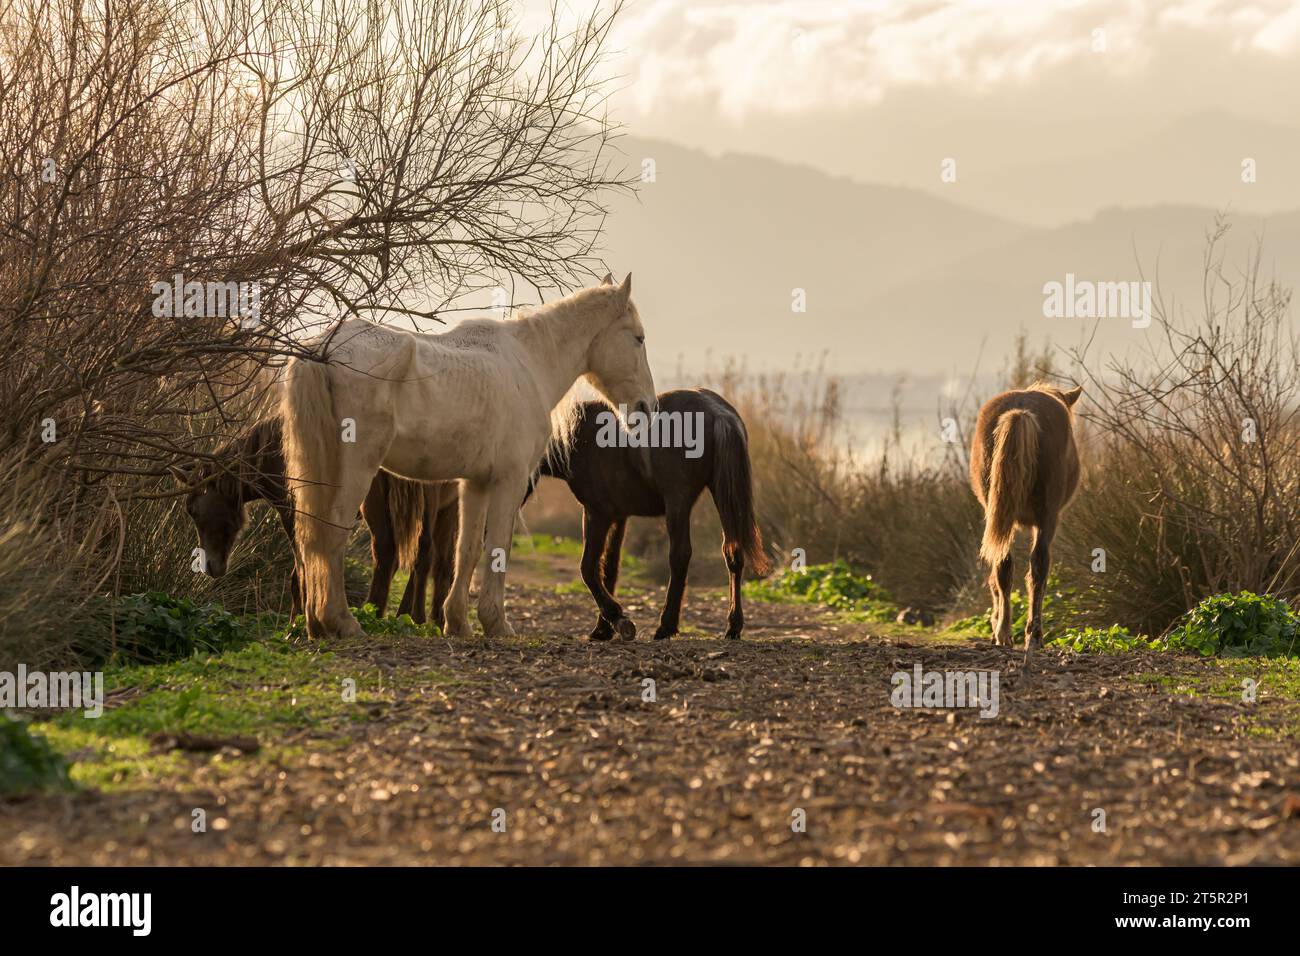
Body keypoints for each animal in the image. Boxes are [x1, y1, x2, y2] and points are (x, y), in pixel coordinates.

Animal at [170, 418, 460, 629]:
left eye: (192, 509)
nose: (209, 566)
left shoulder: (292, 512)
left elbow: (299, 570)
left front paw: (296, 622)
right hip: (443, 503)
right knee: (434, 558)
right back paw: (422, 616)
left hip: (379, 503)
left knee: (390, 552)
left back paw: (377, 613)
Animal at [279, 273, 655, 639]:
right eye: (638, 338)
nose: (646, 407)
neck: (528, 363)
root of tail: (321, 350)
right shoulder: (509, 481)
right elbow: (498, 548)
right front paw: (496, 623)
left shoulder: (475, 483)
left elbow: (467, 550)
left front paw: (457, 621)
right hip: (358, 469)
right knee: (331, 532)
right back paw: (342, 621)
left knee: (311, 536)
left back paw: (315, 624)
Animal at [538, 387, 769, 642]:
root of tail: (719, 413)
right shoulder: (619, 516)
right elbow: (609, 566)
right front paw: (604, 628)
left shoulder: (597, 513)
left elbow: (588, 566)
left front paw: (617, 619)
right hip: (722, 493)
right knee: (733, 552)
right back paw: (733, 626)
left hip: (678, 501)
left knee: (680, 555)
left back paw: (666, 626)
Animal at [972, 382, 1081, 650]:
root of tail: (1020, 411)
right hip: (1047, 518)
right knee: (1038, 567)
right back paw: (1033, 635)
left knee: (1004, 566)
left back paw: (1004, 633)